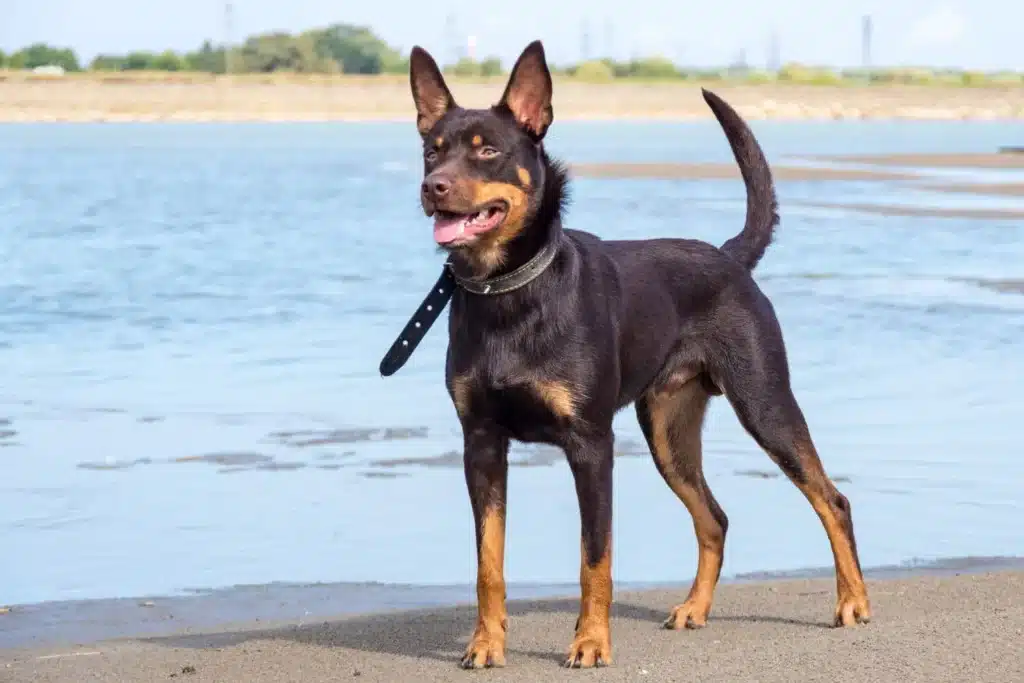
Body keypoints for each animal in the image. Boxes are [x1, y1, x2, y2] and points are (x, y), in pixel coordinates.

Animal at [395, 40, 868, 671]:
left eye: (488, 150)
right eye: (432, 152)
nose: (434, 188)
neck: (510, 292)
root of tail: (730, 258)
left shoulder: (591, 445)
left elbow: (595, 558)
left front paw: (591, 642)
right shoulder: (482, 443)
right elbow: (487, 563)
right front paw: (486, 643)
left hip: (764, 402)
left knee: (831, 500)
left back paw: (853, 603)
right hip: (668, 431)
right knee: (715, 518)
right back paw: (694, 609)